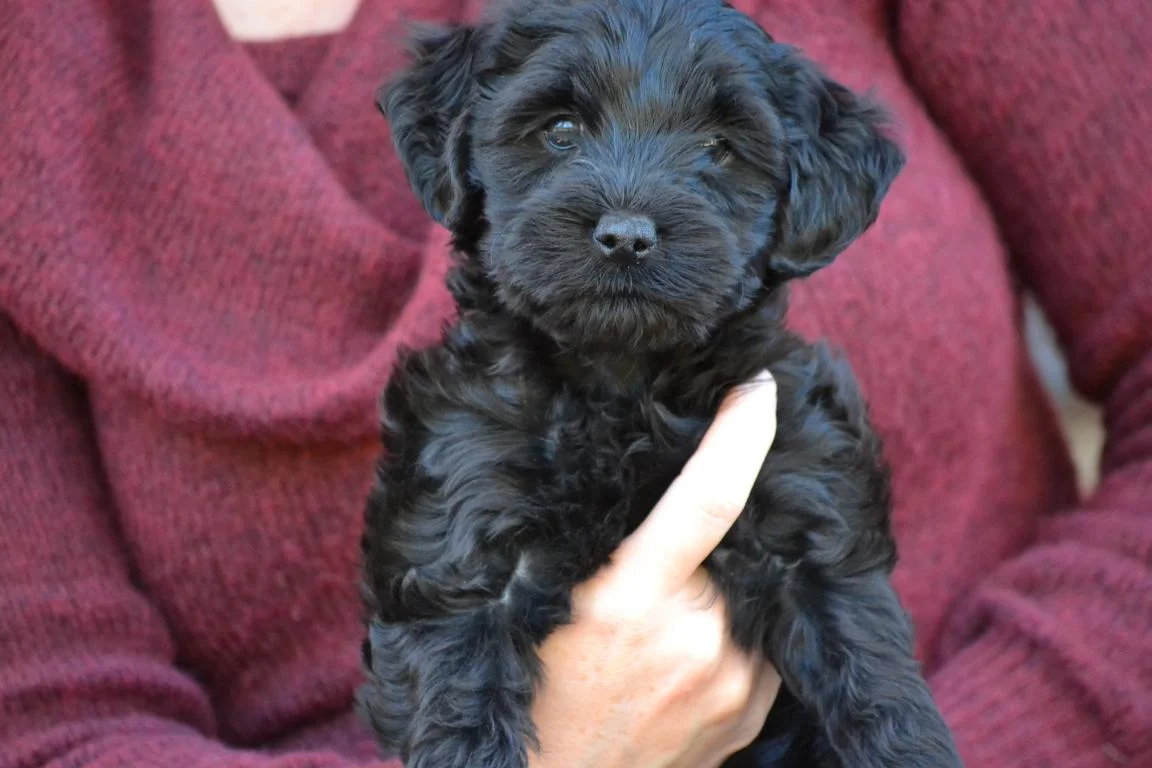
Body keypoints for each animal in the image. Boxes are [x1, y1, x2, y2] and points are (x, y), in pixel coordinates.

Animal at [361, 0, 963, 764]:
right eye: (560, 129)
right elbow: (460, 704)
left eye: (719, 147)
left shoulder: (806, 504)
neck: (623, 384)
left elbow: (874, 677)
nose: (626, 236)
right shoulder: (464, 518)